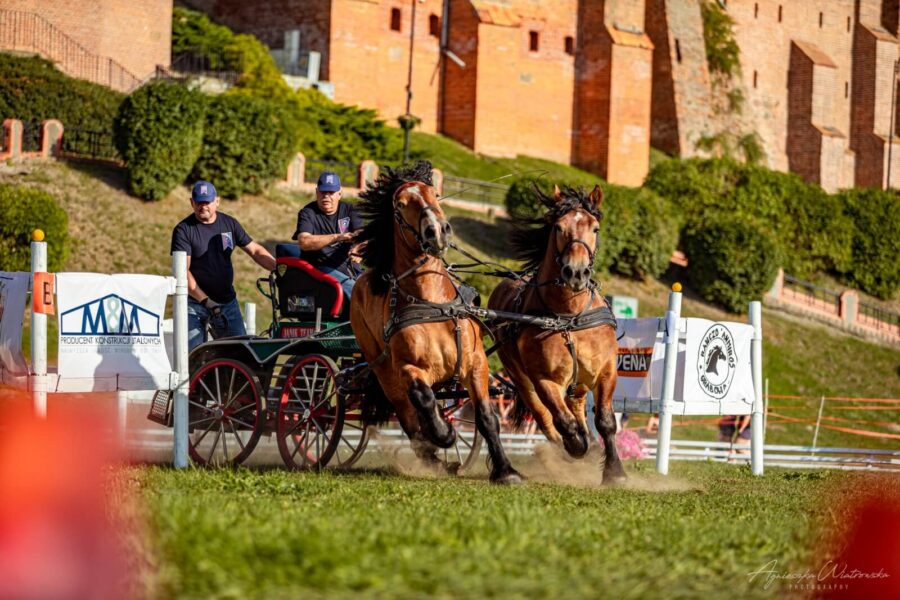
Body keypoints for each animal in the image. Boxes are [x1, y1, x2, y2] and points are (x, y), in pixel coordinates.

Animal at [350, 162, 520, 486]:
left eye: (436, 194)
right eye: (401, 205)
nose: (438, 230)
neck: (433, 304)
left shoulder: (476, 363)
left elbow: (487, 418)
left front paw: (506, 470)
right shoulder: (407, 369)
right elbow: (424, 400)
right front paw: (444, 433)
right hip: (383, 372)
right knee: (409, 419)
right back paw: (433, 452)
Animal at [488, 185, 624, 486]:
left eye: (595, 228)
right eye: (559, 227)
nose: (576, 272)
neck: (568, 317)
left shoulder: (606, 371)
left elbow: (606, 421)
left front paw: (615, 472)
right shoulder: (544, 380)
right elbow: (562, 421)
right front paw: (576, 446)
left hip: (579, 381)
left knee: (577, 405)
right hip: (521, 379)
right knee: (546, 417)